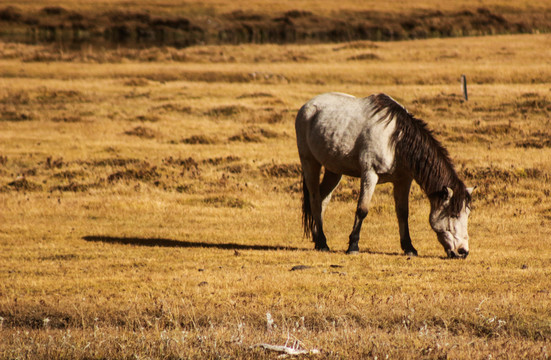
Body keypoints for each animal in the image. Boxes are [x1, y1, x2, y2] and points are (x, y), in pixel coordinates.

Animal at [298, 91, 474, 258]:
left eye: (467, 214)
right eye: (453, 214)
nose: (463, 252)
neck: (396, 141)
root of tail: (307, 106)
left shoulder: (403, 180)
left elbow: (403, 212)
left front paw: (409, 248)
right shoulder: (370, 174)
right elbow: (362, 209)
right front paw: (353, 246)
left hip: (334, 170)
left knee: (323, 199)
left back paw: (318, 238)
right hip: (310, 163)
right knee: (315, 199)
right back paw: (322, 243)